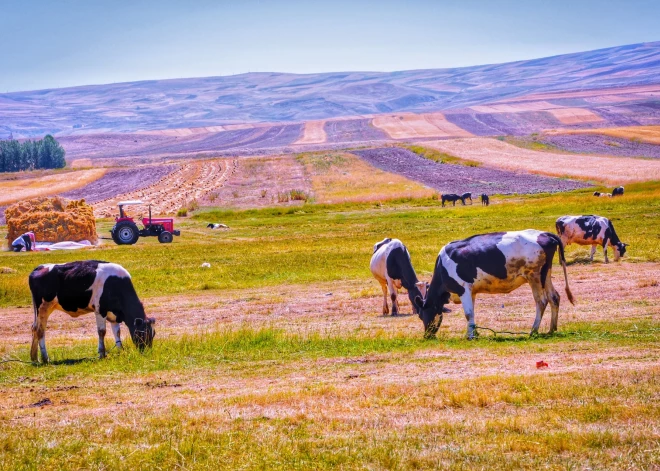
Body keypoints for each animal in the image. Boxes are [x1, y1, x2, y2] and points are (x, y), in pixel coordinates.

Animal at [27, 260, 155, 364]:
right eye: (143, 332)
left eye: (153, 333)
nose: (147, 351)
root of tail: (39, 267)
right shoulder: (100, 310)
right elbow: (102, 332)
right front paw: (102, 354)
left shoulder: (114, 314)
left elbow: (117, 333)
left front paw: (121, 351)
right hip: (43, 307)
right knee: (40, 330)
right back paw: (45, 359)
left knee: (34, 328)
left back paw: (34, 358)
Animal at [412, 231, 572, 340]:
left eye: (421, 315)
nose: (427, 336)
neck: (443, 265)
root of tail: (544, 233)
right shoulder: (471, 291)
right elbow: (471, 313)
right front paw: (474, 333)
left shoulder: (463, 289)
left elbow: (468, 313)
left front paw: (470, 336)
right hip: (546, 275)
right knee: (554, 297)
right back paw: (552, 329)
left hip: (535, 276)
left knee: (542, 301)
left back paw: (533, 330)